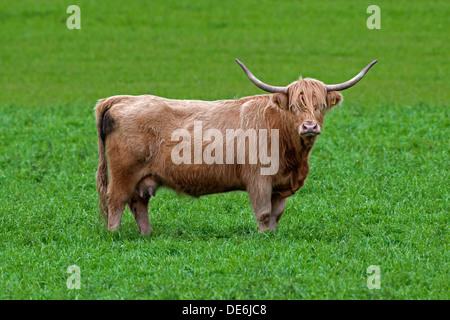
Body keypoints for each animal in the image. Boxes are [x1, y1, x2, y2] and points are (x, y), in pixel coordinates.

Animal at [95, 58, 376, 232]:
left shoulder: (279, 185)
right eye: (295, 105)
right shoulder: (259, 180)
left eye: (320, 106)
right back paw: (115, 235)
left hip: (142, 178)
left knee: (138, 205)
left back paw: (148, 235)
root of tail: (121, 99)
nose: (309, 127)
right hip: (123, 174)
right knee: (116, 202)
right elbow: (264, 214)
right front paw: (264, 238)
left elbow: (276, 215)